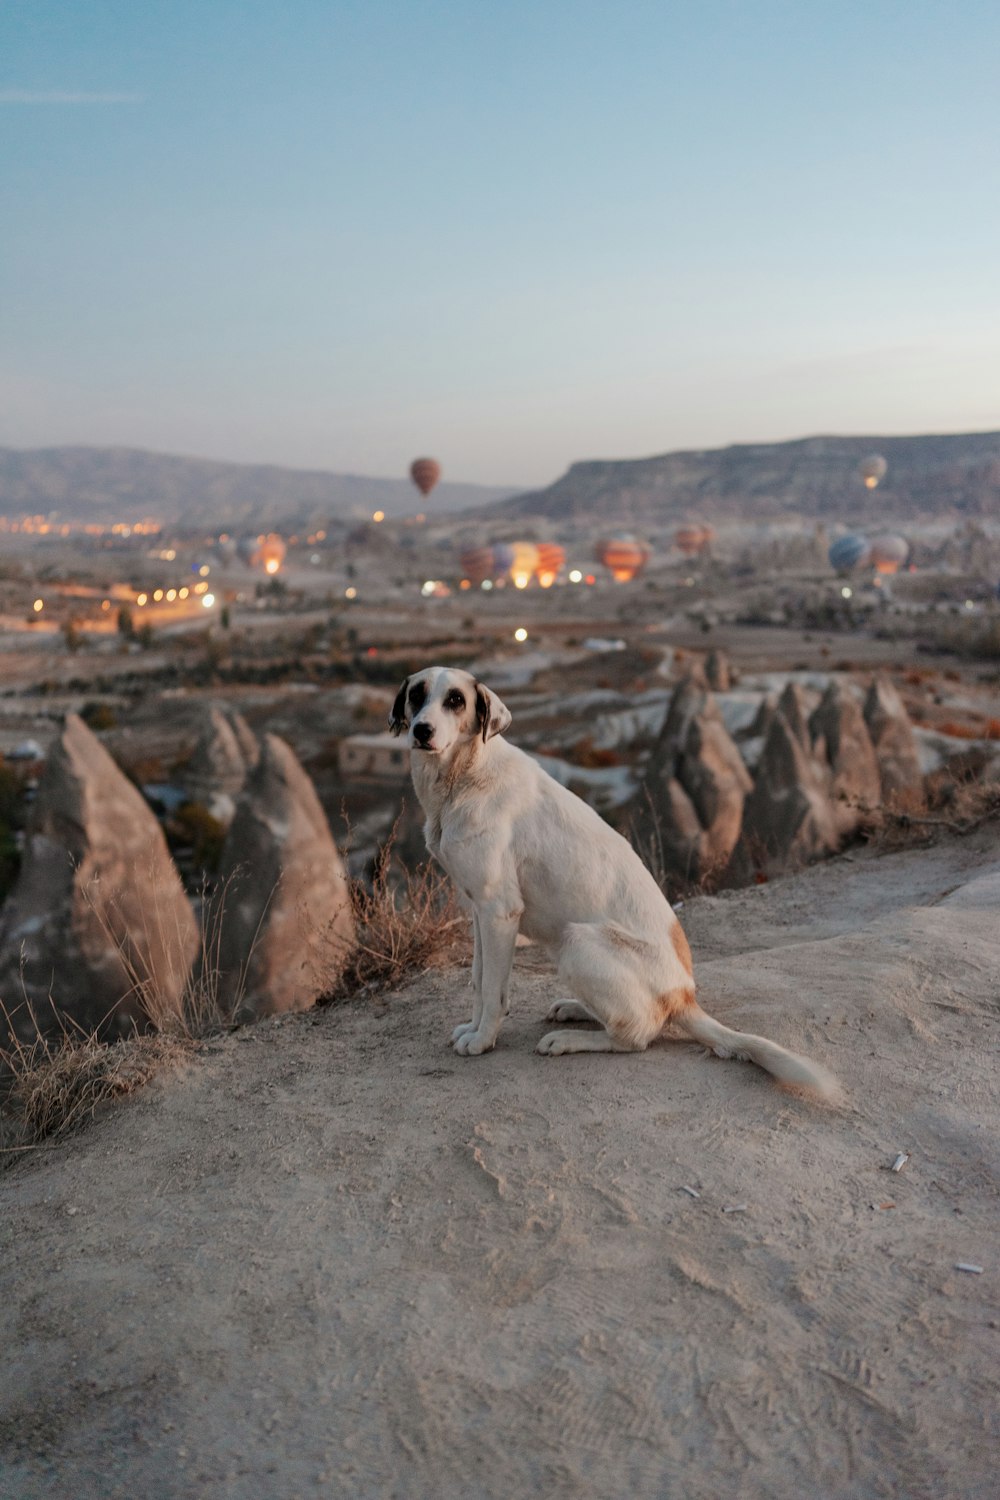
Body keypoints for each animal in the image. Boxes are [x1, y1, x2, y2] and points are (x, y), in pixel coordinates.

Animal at [389, 669, 839, 1104]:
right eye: (416, 694)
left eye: (456, 700)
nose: (423, 731)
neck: (464, 775)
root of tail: (683, 996)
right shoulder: (479, 911)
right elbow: (477, 979)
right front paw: (472, 1028)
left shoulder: (499, 910)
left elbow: (492, 989)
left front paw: (482, 1040)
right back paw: (575, 1008)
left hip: (575, 942)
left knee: (637, 1035)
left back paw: (569, 1039)